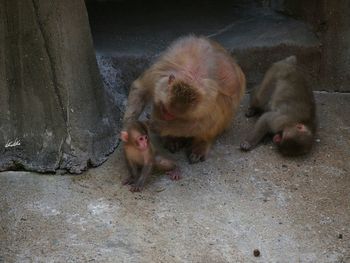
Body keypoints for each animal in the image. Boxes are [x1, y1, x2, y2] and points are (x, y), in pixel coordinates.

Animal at [123, 35, 246, 163]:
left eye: (172, 115)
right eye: (165, 110)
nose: (166, 117)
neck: (191, 75)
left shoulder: (209, 101)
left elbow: (204, 123)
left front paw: (159, 126)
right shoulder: (157, 75)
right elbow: (140, 89)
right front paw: (128, 126)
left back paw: (200, 144)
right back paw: (171, 139)